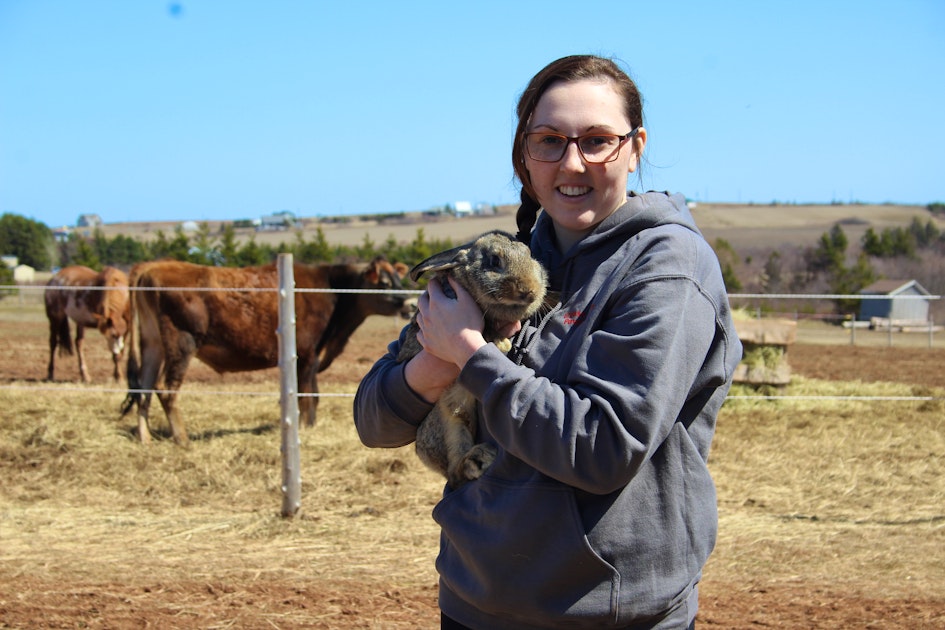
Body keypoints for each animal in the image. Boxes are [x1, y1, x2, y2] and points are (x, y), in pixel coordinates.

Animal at [121, 256, 410, 444]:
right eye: (384, 283)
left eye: (398, 277)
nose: (408, 304)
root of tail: (152, 266)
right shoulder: (308, 354)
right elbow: (307, 394)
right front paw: (305, 427)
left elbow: (311, 394)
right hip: (181, 341)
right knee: (165, 388)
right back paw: (182, 438)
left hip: (152, 344)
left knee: (143, 387)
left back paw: (145, 437)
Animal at [396, 230, 544, 492]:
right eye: (494, 261)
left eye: (529, 254)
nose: (529, 291)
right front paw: (502, 344)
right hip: (449, 425)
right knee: (455, 473)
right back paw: (478, 460)